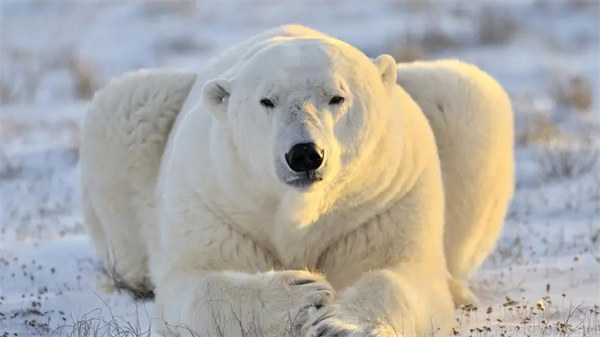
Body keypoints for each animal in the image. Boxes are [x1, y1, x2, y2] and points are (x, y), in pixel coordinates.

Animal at [77, 24, 512, 336]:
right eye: (267, 100)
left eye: (337, 97)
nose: (304, 154)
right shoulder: (213, 199)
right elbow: (195, 283)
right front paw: (301, 294)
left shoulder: (386, 200)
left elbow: (401, 273)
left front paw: (341, 324)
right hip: (137, 118)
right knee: (126, 104)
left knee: (466, 95)